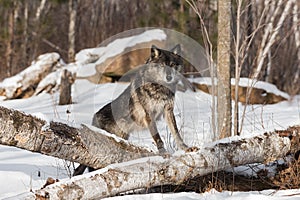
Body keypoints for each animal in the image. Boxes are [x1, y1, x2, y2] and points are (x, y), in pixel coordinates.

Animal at [73, 45, 190, 175]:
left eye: (172, 65)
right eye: (162, 65)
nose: (169, 77)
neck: (161, 88)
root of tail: (94, 118)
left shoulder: (168, 111)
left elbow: (176, 133)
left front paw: (186, 148)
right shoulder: (149, 115)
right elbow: (158, 138)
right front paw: (164, 154)